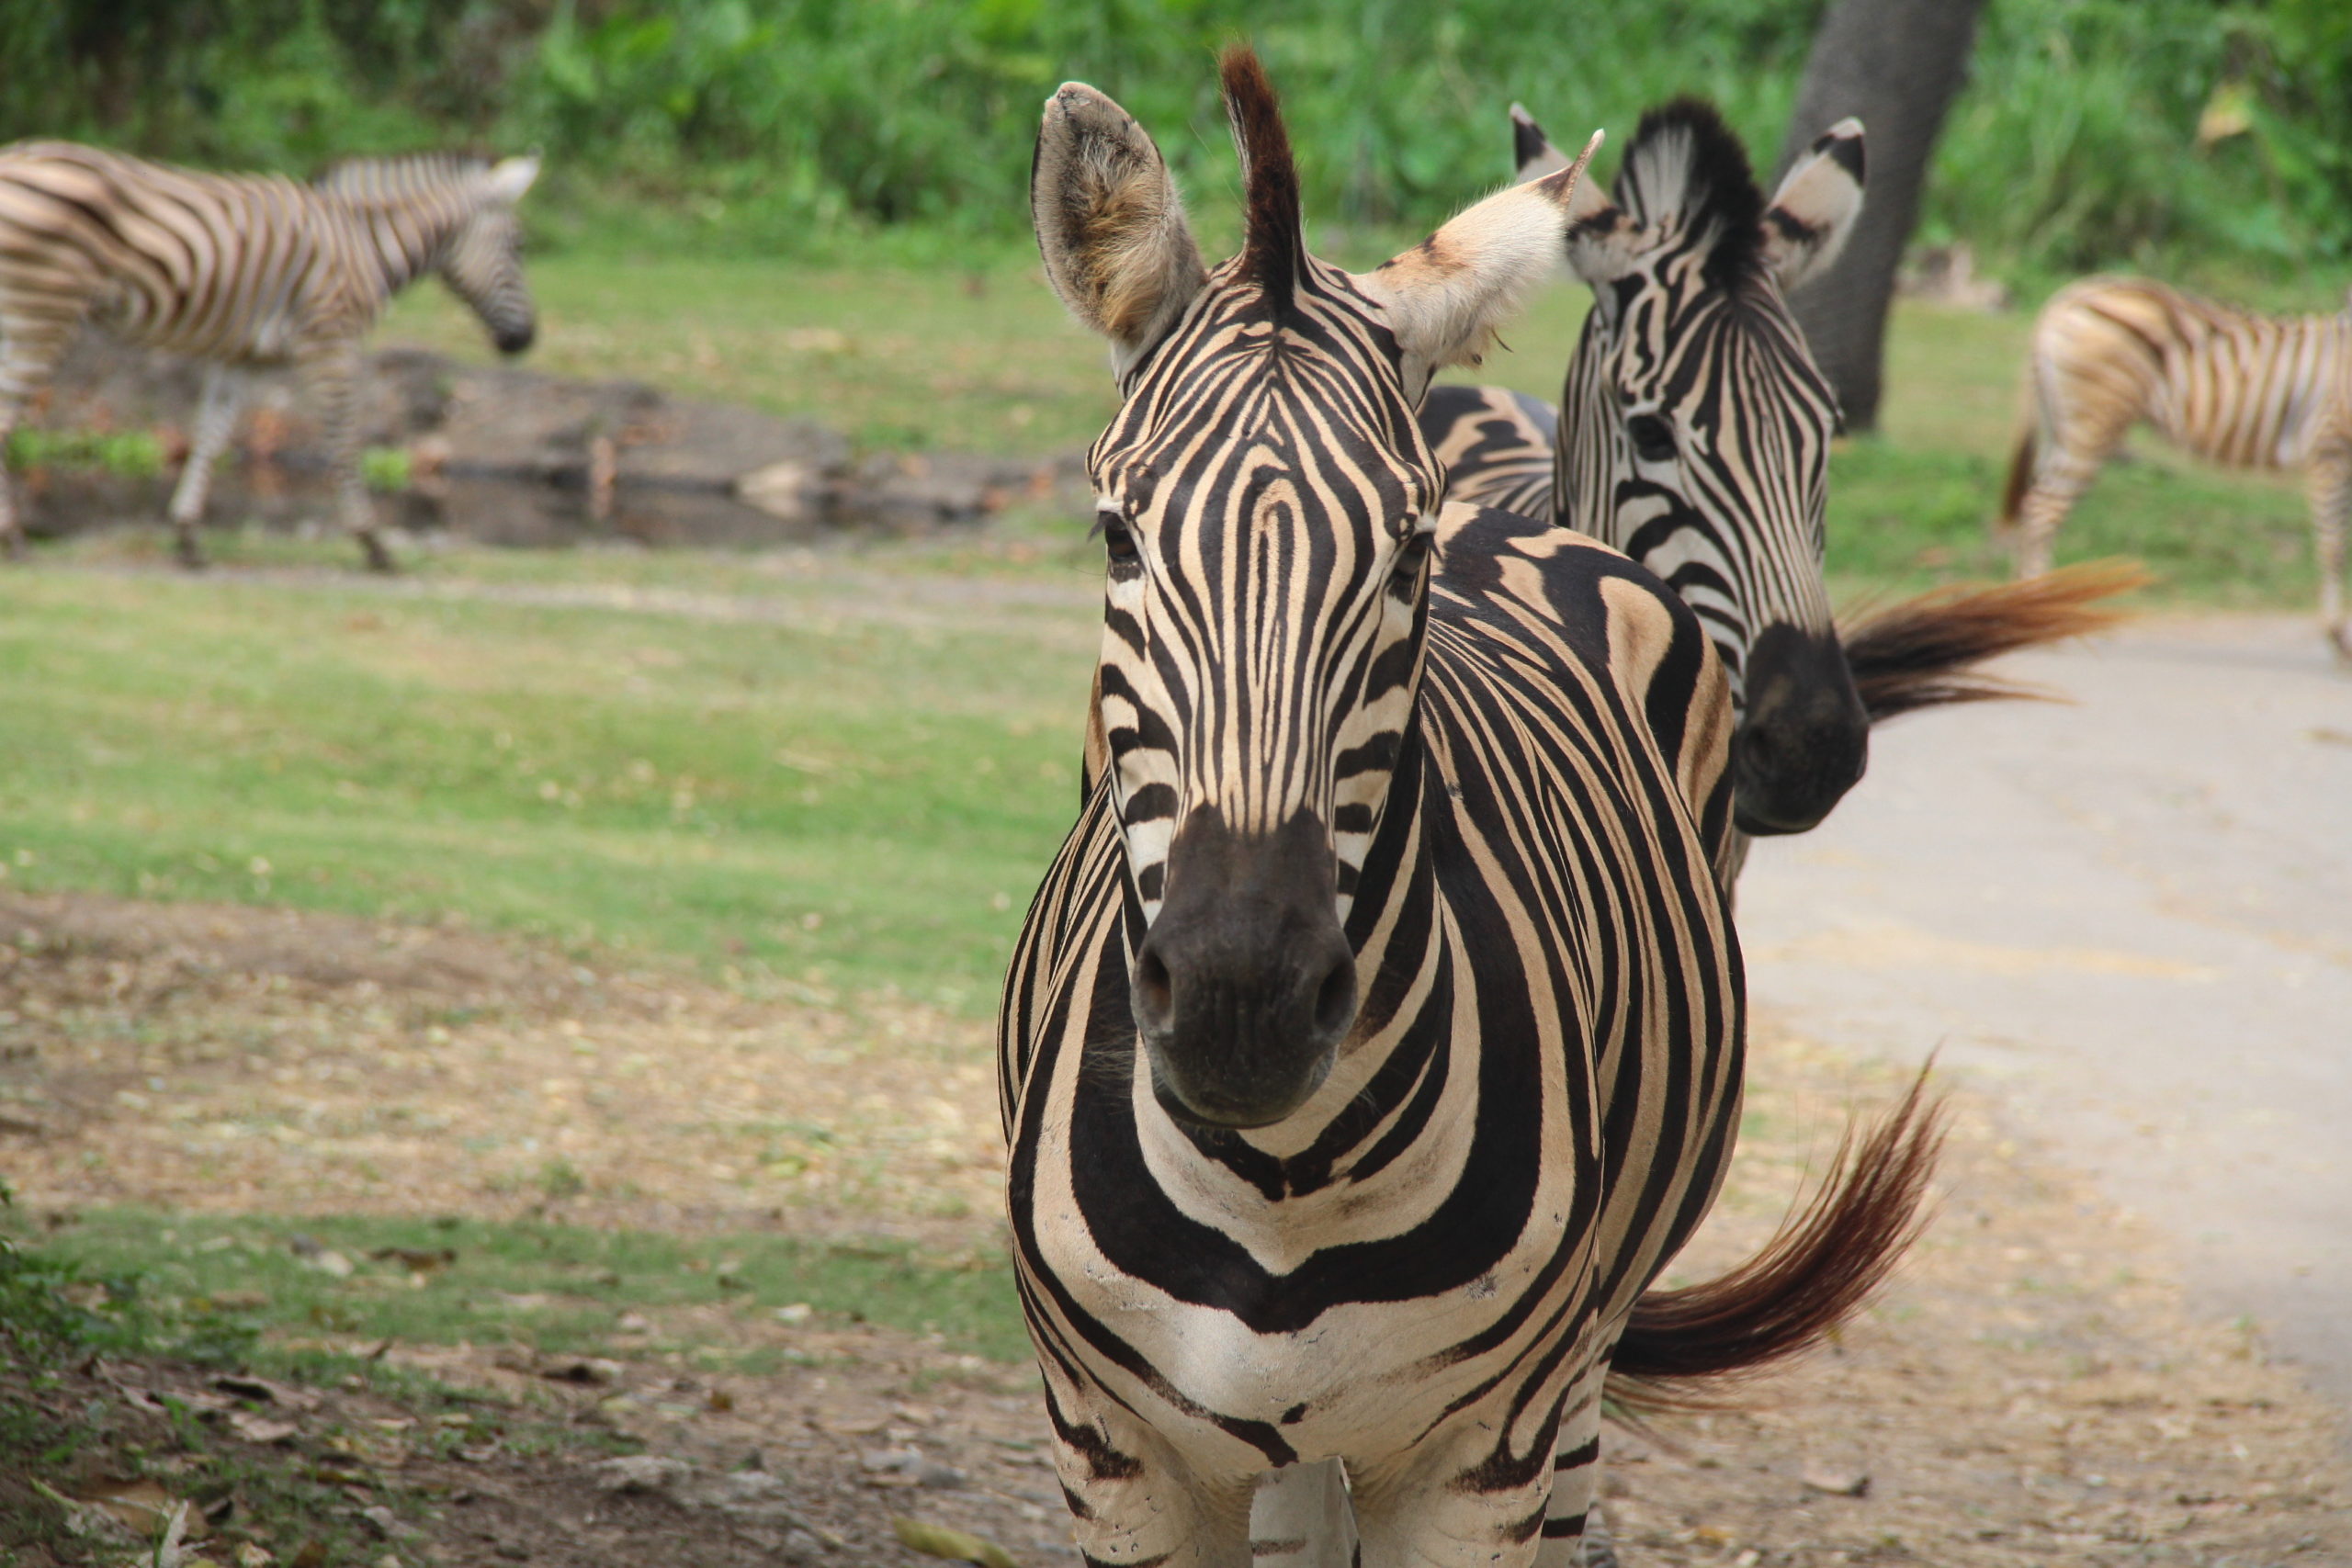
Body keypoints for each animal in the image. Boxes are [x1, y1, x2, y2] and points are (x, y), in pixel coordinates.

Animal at [0, 141, 538, 570]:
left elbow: (211, 437)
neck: (366, 244)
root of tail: (19, 156)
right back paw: (15, 541)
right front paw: (374, 544)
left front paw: (188, 538)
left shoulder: (241, 356)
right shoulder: (330, 340)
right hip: (42, 311)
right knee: (8, 418)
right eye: (517, 246)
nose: (526, 340)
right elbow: (343, 440)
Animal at [1001, 49, 1938, 1568]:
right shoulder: (1115, 1451)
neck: (1278, 1176)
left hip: (1573, 1359)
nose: (1242, 996)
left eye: (1405, 552)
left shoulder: (1480, 1454)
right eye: (1116, 537)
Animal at [2004, 276, 2352, 658]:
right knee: (2044, 510)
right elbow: (2333, 544)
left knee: (2035, 504)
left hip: (2061, 424)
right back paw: (2039, 614)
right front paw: (2338, 637)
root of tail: (2073, 293)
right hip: (2092, 424)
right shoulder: (2329, 448)